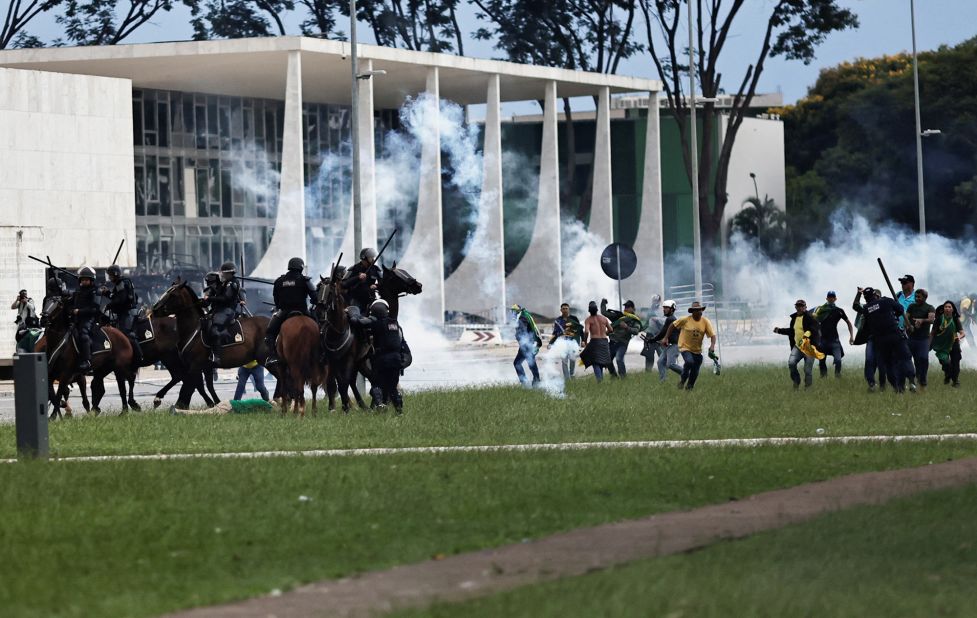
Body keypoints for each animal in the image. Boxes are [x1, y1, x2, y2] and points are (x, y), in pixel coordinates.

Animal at [152, 280, 270, 410]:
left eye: (173, 295)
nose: (154, 310)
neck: (194, 330)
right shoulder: (205, 367)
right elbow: (206, 386)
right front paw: (216, 403)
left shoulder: (195, 366)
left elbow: (189, 387)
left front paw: (178, 405)